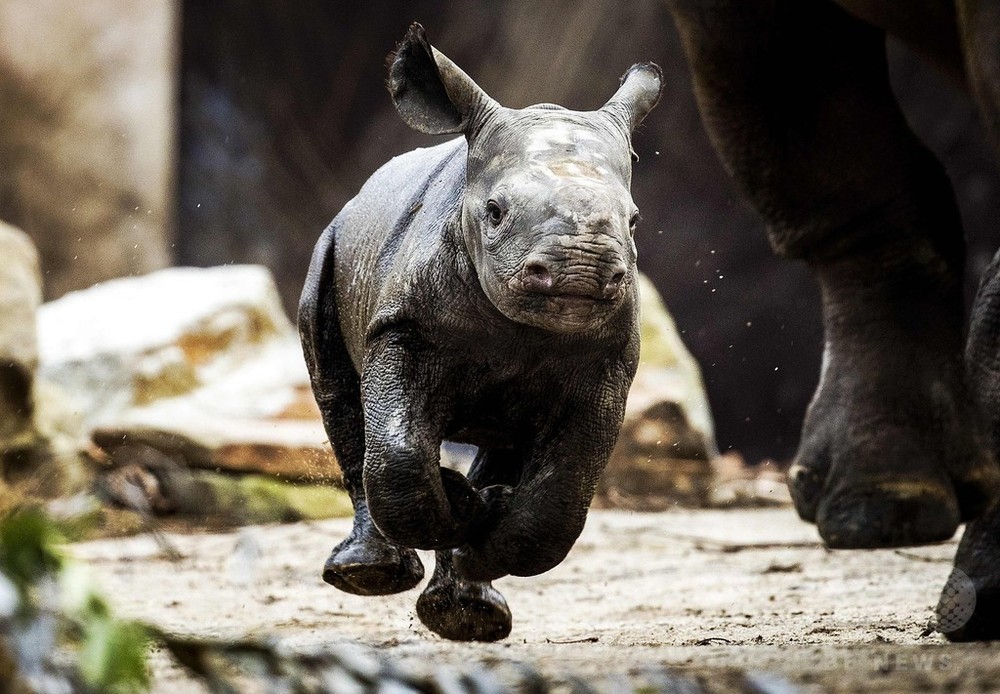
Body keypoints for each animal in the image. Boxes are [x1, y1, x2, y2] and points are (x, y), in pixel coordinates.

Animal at [296, 23, 660, 640]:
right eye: (494, 211)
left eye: (633, 221)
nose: (580, 271)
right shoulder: (403, 328)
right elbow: (396, 444)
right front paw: (464, 504)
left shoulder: (607, 361)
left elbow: (564, 487)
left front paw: (483, 531)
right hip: (332, 245)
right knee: (338, 394)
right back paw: (370, 572)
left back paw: (470, 610)